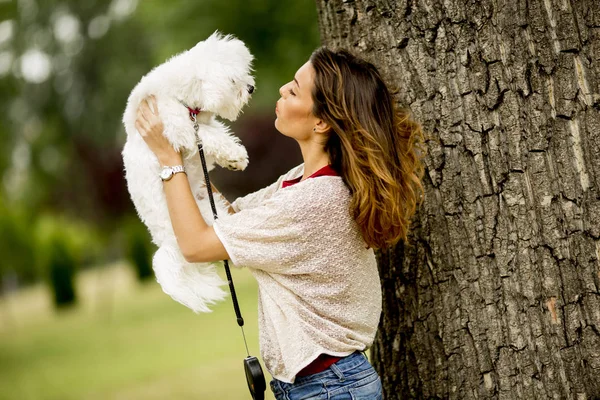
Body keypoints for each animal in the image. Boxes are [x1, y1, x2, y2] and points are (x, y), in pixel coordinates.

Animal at [120, 32, 254, 312]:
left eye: (245, 72)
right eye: (232, 80)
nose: (251, 88)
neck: (179, 96)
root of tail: (168, 245)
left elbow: (216, 133)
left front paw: (233, 159)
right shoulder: (179, 127)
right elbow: (207, 135)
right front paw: (235, 155)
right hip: (205, 217)